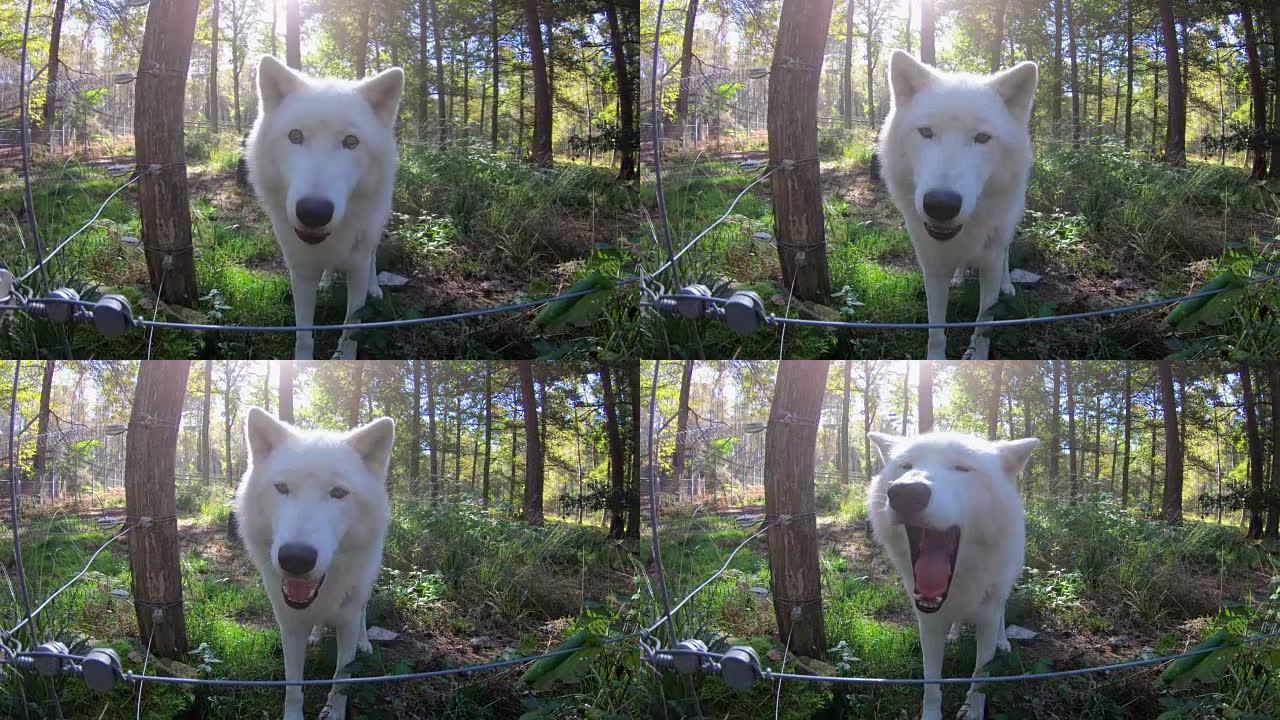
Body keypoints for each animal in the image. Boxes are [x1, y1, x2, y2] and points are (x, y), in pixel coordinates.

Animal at [230, 407, 389, 717]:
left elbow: (341, 680)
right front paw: (292, 715)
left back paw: (365, 642)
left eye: (338, 493)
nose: (295, 558)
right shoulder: (289, 626)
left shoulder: (347, 622)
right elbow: (293, 687)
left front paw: (334, 713)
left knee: (364, 611)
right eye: (281, 488)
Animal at [247, 55, 407, 358]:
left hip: (376, 228)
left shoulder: (356, 270)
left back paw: (375, 288)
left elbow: (351, 327)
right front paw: (302, 362)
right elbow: (304, 335)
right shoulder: (300, 272)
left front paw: (344, 358)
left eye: (351, 142)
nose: (313, 211)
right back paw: (326, 281)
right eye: (295, 136)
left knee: (373, 256)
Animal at [870, 430, 1039, 717]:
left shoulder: (987, 621)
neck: (960, 583)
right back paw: (954, 634)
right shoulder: (927, 625)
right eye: (906, 466)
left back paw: (1004, 642)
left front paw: (971, 712)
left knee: (1003, 612)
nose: (905, 492)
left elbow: (979, 679)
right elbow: (931, 686)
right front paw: (931, 715)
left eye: (962, 468)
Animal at [880, 50, 1039, 358]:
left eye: (982, 138)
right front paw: (935, 360)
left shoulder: (989, 265)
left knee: (1006, 255)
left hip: (1008, 229)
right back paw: (958, 278)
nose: (941, 204)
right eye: (926, 132)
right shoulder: (931, 267)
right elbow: (935, 331)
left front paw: (977, 356)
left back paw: (1007, 285)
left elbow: (983, 325)